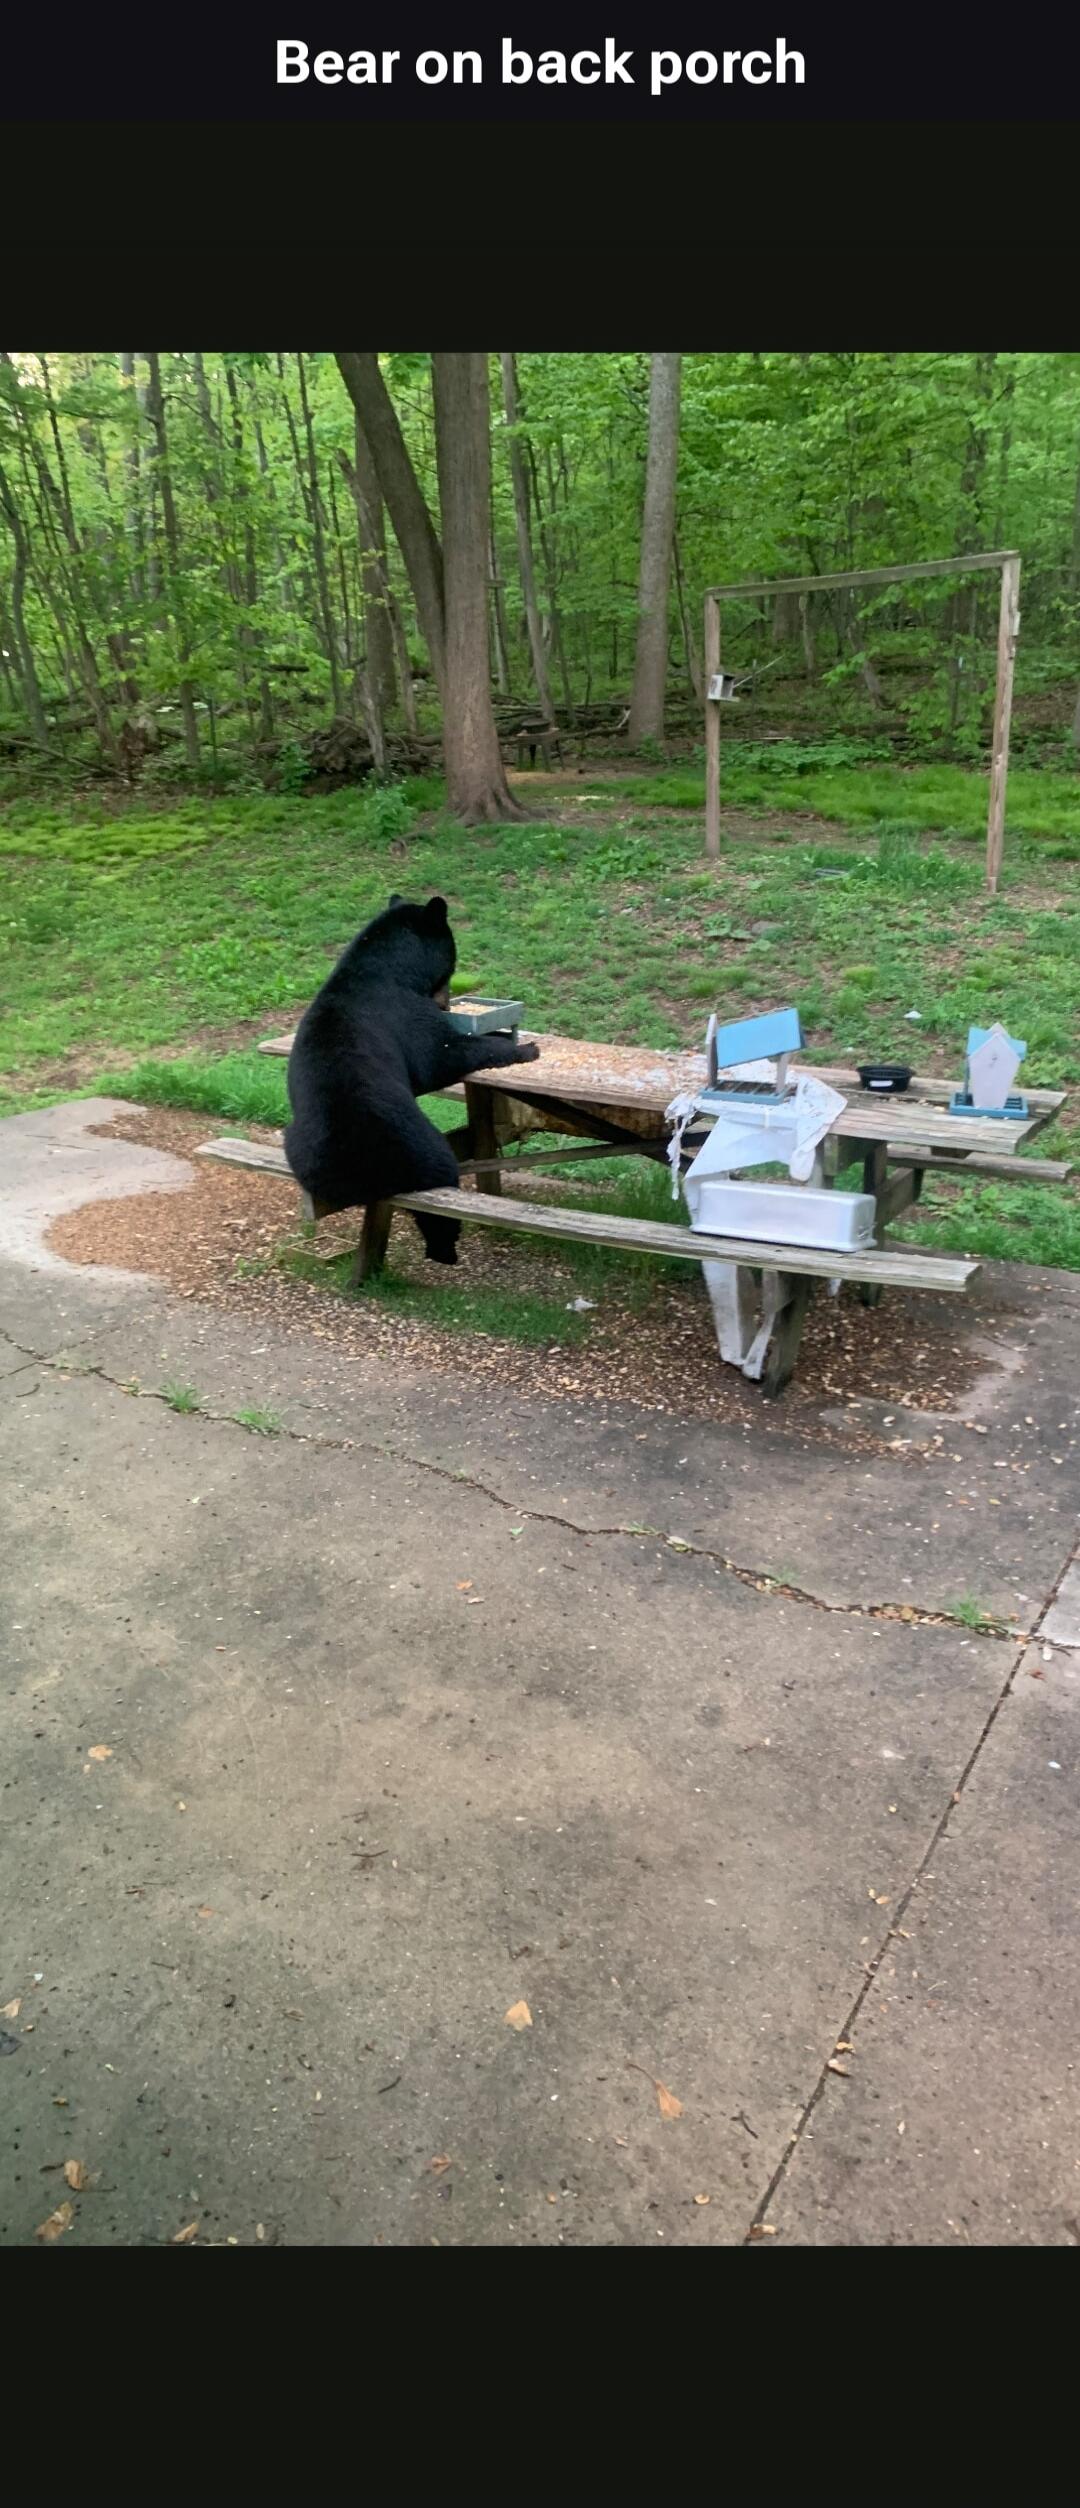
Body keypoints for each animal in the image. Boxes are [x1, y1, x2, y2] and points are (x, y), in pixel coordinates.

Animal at [284, 892, 540, 1266]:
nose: (446, 1004)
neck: (386, 969)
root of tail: (358, 1172)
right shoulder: (405, 1012)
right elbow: (440, 1056)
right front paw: (524, 1047)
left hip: (297, 1149)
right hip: (420, 1147)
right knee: (438, 1195)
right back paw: (444, 1251)